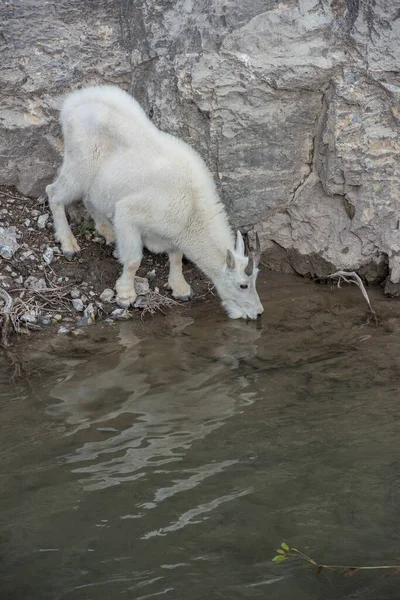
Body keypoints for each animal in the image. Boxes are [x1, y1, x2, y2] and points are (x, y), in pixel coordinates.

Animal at [47, 85, 264, 322]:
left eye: (255, 279)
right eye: (243, 285)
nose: (258, 312)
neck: (192, 209)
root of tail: (71, 104)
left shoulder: (173, 231)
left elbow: (176, 257)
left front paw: (180, 289)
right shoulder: (130, 213)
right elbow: (133, 260)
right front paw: (125, 295)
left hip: (98, 180)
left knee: (89, 197)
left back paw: (108, 232)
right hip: (79, 166)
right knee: (54, 193)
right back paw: (68, 244)